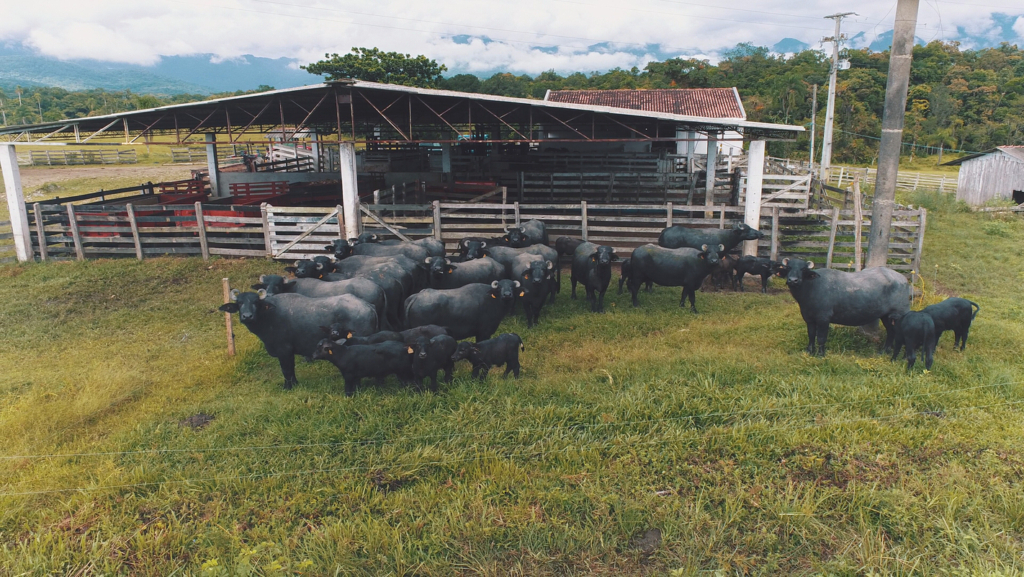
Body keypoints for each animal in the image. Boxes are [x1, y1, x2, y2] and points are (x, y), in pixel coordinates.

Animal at [782, 258, 913, 356]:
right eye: (788, 268)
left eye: (803, 269)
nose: (793, 280)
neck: (811, 287)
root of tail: (903, 279)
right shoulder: (809, 318)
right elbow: (811, 335)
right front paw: (809, 351)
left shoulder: (823, 318)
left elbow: (821, 337)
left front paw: (820, 354)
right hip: (886, 315)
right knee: (891, 331)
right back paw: (885, 351)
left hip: (900, 314)